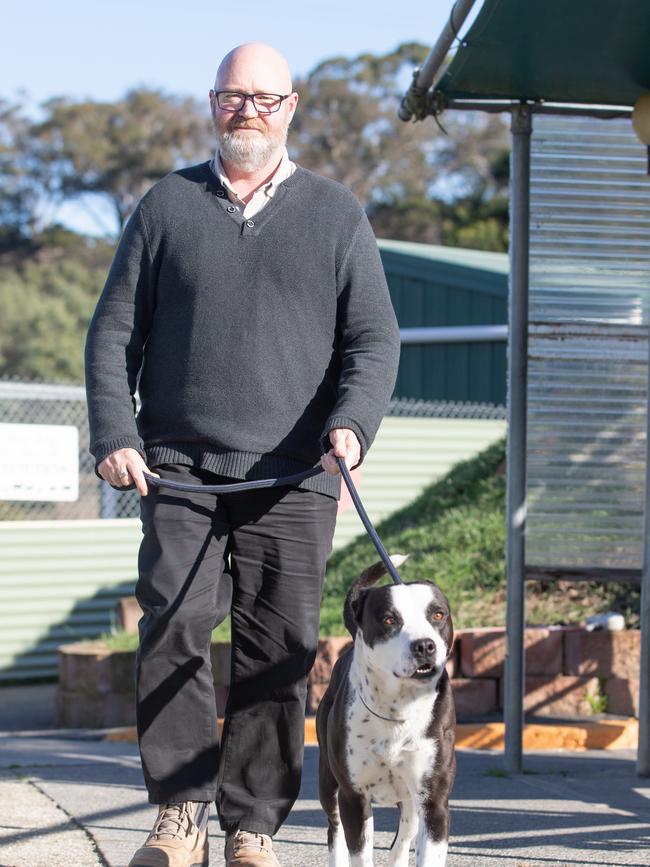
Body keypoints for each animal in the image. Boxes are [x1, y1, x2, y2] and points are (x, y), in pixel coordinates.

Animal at [316, 560, 454, 864]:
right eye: (389, 619)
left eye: (438, 614)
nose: (425, 645)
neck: (398, 707)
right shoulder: (354, 798)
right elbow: (358, 853)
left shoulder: (433, 801)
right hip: (329, 786)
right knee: (335, 830)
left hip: (411, 803)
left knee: (403, 837)